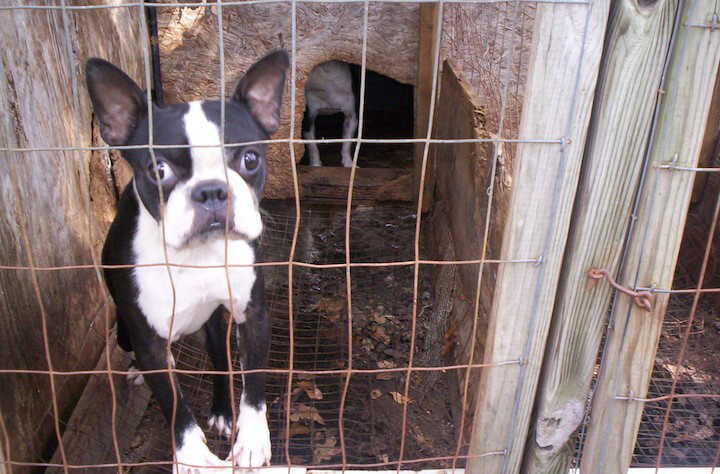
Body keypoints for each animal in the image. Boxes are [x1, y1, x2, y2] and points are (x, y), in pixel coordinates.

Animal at [89, 50, 290, 472]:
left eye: (250, 159)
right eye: (158, 170)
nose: (212, 190)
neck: (197, 253)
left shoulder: (254, 314)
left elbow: (254, 382)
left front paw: (251, 440)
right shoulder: (149, 342)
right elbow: (175, 406)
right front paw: (193, 456)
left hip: (214, 323)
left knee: (220, 360)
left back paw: (223, 412)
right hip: (127, 332)